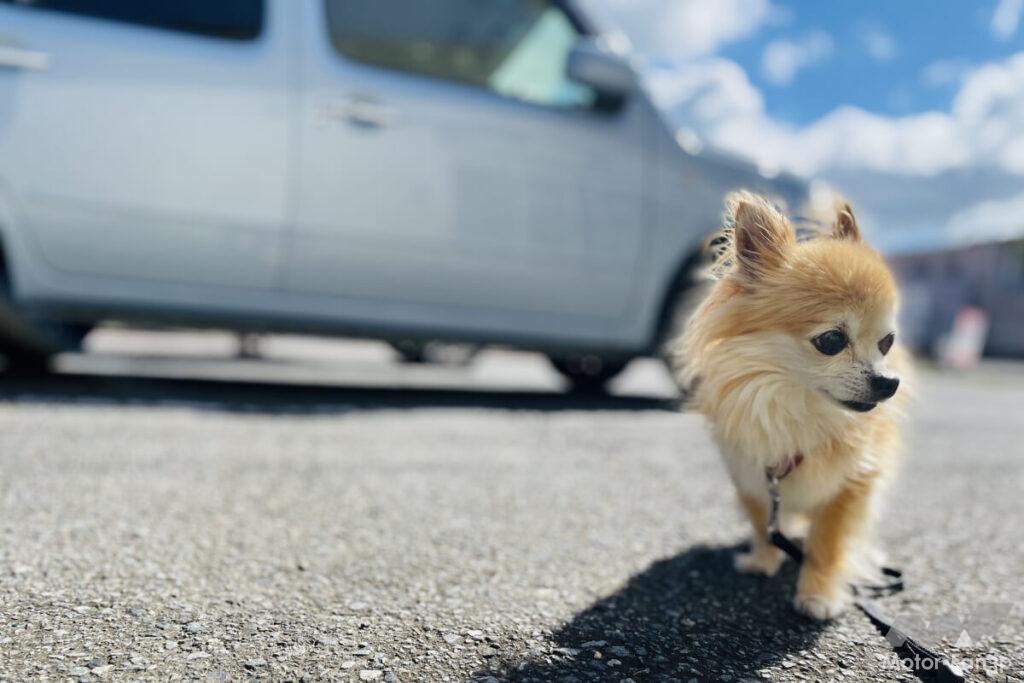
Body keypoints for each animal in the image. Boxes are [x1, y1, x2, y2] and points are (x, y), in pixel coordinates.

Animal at [675, 191, 909, 618]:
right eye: (831, 340)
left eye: (887, 343)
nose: (889, 383)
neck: (797, 408)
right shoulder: (753, 477)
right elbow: (761, 524)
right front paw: (762, 561)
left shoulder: (852, 484)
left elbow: (828, 544)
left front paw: (818, 595)